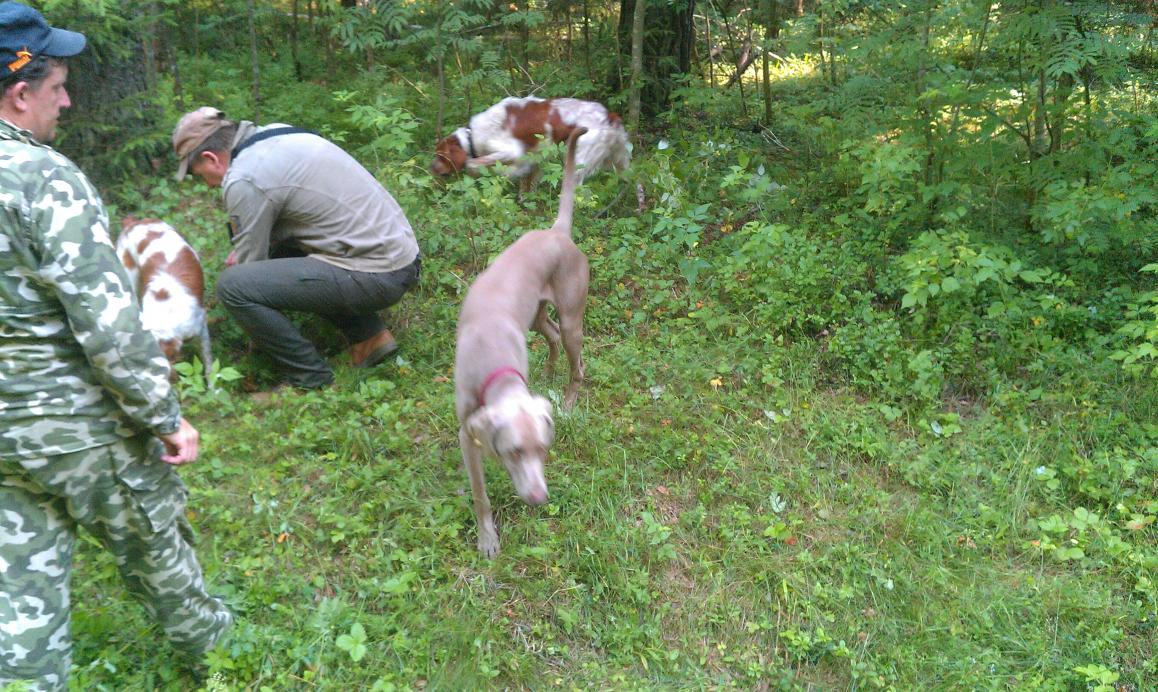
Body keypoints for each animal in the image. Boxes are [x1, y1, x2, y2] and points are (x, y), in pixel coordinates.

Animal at [432, 96, 630, 193]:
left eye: (440, 156)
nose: (431, 168)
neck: (472, 136)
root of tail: (608, 115)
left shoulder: (512, 152)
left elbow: (472, 163)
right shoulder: (535, 159)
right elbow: (528, 184)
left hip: (577, 161)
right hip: (618, 160)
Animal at [453, 127, 591, 558]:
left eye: (544, 450)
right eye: (513, 451)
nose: (539, 499)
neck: (491, 361)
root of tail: (557, 231)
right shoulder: (466, 434)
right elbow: (480, 493)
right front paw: (487, 539)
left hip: (572, 318)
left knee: (578, 365)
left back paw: (569, 401)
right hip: (535, 314)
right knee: (551, 339)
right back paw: (547, 372)